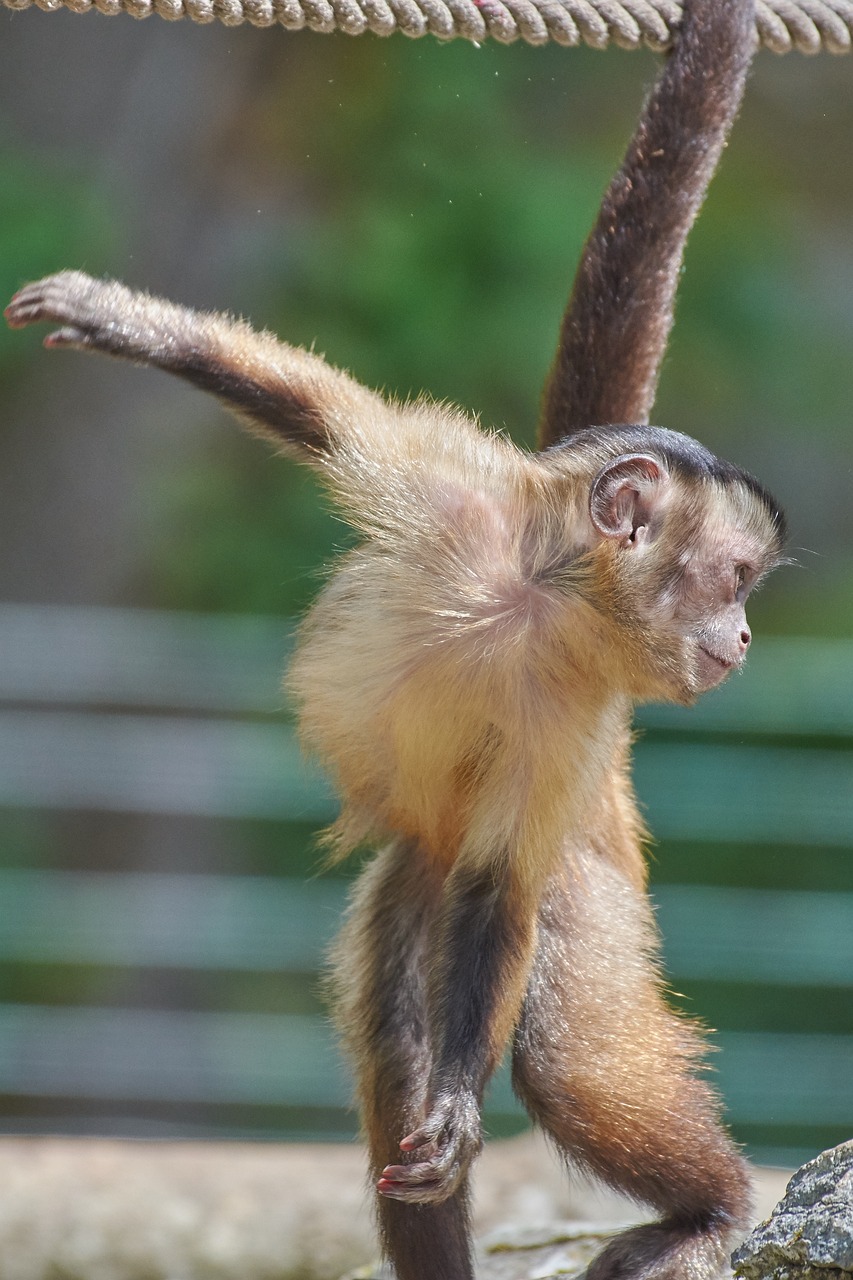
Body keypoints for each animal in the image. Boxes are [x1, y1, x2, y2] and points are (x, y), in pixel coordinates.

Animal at [4, 5, 783, 1274]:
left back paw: (706, 1208)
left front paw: (462, 1106)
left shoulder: (577, 710)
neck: (540, 602)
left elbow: (506, 888)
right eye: (730, 578)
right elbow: (314, 410)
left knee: (552, 1033)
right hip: (412, 873)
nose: (748, 633)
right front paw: (122, 319)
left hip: (590, 873)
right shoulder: (448, 491)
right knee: (390, 1041)